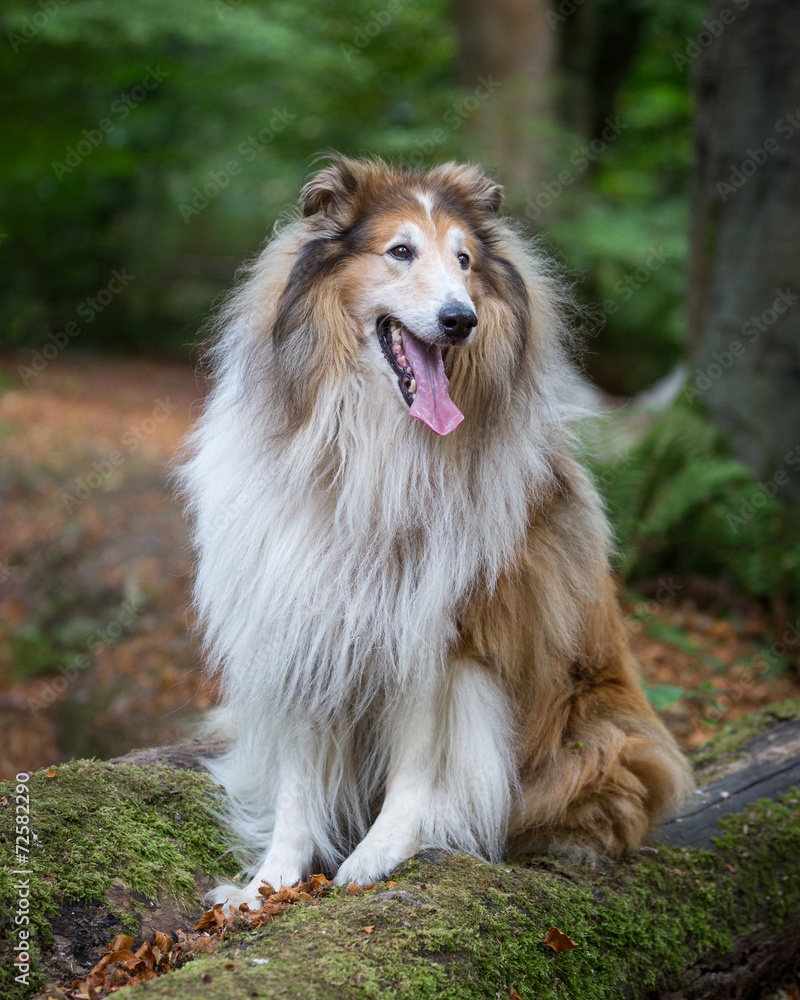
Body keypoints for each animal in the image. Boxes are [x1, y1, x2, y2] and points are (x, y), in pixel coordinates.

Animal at [181, 154, 692, 908]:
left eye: (465, 259)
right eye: (400, 251)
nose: (460, 320)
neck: (376, 447)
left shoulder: (446, 634)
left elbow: (420, 765)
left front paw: (380, 854)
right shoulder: (304, 616)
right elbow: (298, 781)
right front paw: (270, 883)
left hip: (600, 739)